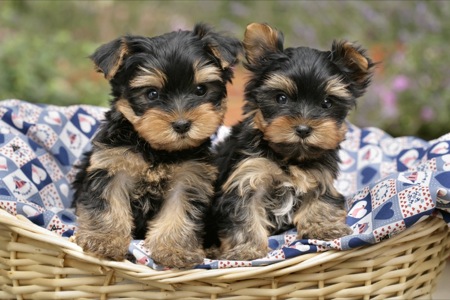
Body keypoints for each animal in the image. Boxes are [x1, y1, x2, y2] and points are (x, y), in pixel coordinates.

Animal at [73, 22, 243, 268]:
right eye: (152, 94)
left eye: (200, 90)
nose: (182, 124)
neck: (156, 149)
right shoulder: (112, 165)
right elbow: (107, 205)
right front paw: (103, 241)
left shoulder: (189, 178)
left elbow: (179, 213)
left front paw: (175, 250)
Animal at [213, 22, 374, 260]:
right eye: (281, 98)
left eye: (327, 103)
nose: (303, 129)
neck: (289, 157)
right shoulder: (246, 177)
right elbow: (244, 215)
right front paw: (246, 250)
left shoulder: (320, 176)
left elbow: (321, 200)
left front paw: (325, 228)